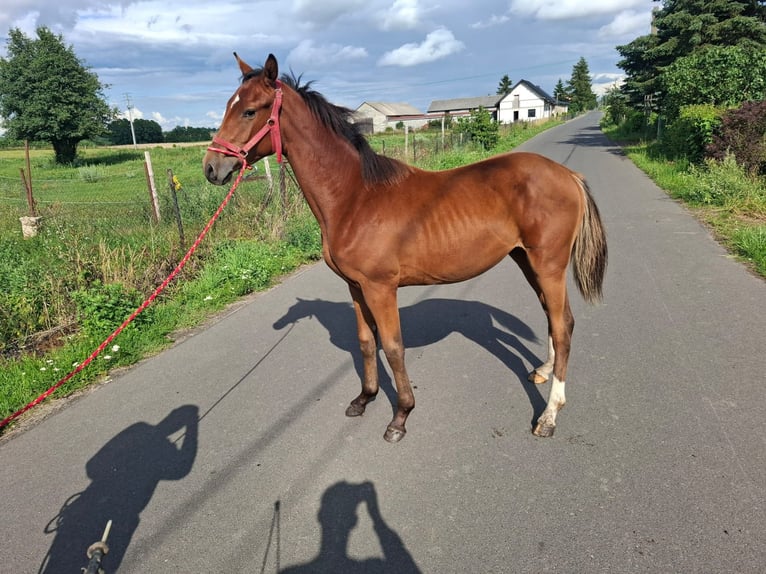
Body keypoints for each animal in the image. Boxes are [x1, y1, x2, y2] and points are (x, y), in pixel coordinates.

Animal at [204, 53, 607, 442]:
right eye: (228, 105)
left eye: (249, 110)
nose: (211, 167)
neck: (355, 198)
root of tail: (568, 175)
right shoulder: (355, 287)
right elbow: (367, 342)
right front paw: (364, 398)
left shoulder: (381, 288)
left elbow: (394, 347)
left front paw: (400, 417)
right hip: (527, 260)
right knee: (555, 319)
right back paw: (542, 372)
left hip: (548, 264)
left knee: (563, 326)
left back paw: (549, 416)